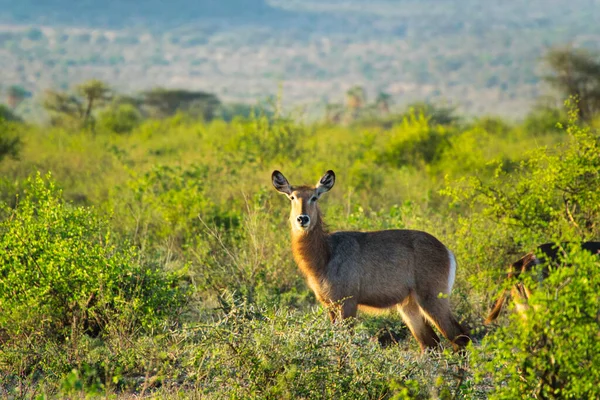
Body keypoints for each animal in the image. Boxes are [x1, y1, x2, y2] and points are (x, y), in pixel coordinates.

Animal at [270, 170, 472, 352]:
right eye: (292, 197)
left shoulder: (348, 302)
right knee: (431, 343)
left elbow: (345, 341)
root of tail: (447, 250)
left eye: (315, 197)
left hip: (432, 298)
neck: (326, 253)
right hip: (409, 305)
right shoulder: (329, 304)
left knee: (460, 337)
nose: (302, 219)